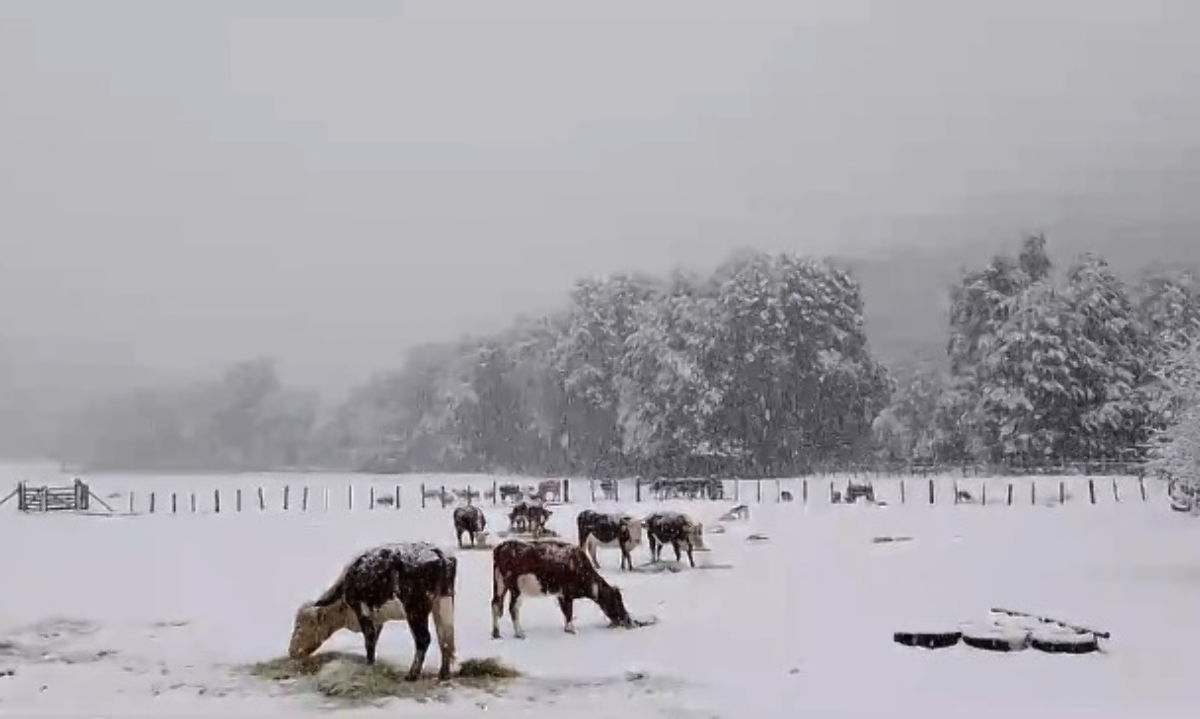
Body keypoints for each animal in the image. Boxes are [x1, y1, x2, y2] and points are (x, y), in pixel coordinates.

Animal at [285, 544, 458, 681]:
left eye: (299, 626)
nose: (292, 652)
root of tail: (438, 554)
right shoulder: (377, 619)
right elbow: (374, 640)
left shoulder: (362, 611)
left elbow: (369, 640)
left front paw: (368, 666)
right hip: (443, 602)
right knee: (445, 637)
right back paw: (443, 674)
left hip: (415, 610)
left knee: (424, 639)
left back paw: (412, 675)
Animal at [489, 540, 633, 643]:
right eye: (617, 601)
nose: (628, 620)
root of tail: (502, 546)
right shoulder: (567, 594)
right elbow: (569, 613)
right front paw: (572, 630)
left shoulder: (561, 595)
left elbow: (565, 612)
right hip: (516, 588)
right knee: (513, 608)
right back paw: (519, 634)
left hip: (499, 584)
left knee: (495, 604)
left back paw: (496, 633)